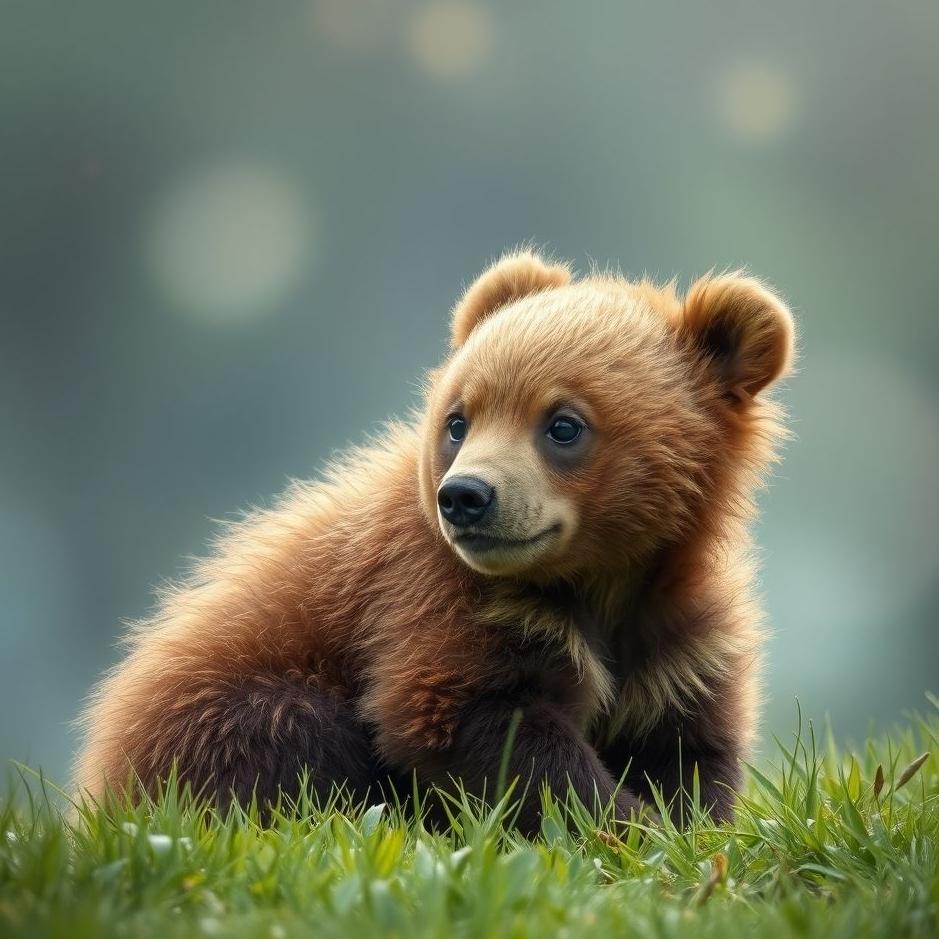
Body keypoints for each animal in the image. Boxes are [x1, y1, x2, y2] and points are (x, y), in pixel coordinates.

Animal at [74, 249, 795, 834]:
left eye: (562, 423)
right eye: (458, 419)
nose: (466, 496)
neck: (600, 578)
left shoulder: (678, 637)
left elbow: (688, 744)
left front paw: (684, 822)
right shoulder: (437, 596)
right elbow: (476, 722)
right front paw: (629, 825)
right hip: (207, 716)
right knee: (294, 731)